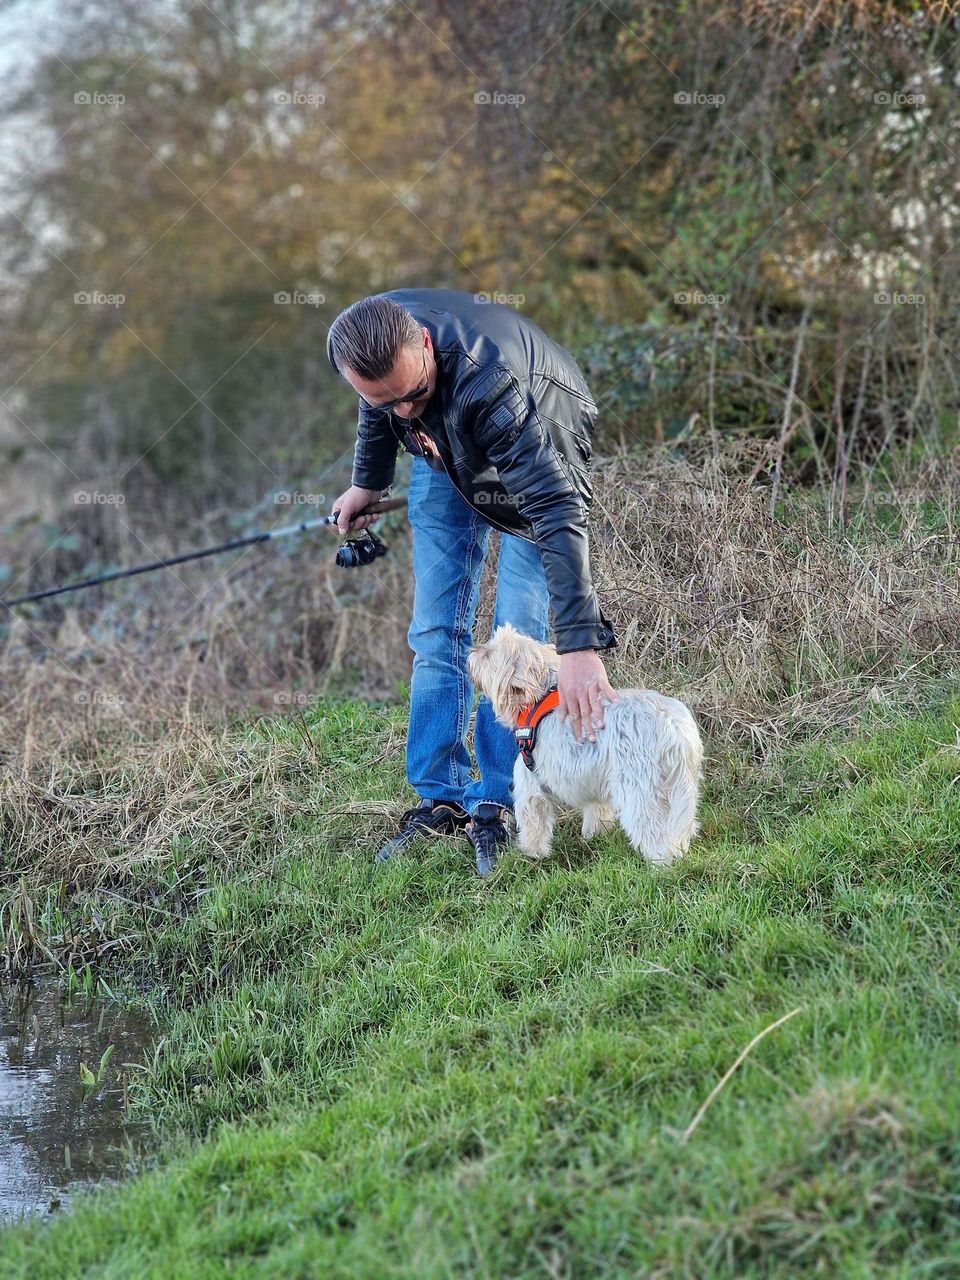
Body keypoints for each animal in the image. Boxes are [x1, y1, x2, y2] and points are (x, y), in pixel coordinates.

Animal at [468, 622, 701, 865]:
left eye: (488, 655)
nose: (472, 652)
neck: (540, 697)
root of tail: (674, 727)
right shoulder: (595, 783)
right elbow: (597, 812)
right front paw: (595, 836)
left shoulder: (529, 785)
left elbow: (534, 824)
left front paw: (531, 854)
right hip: (680, 791)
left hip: (641, 792)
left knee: (654, 832)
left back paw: (661, 864)